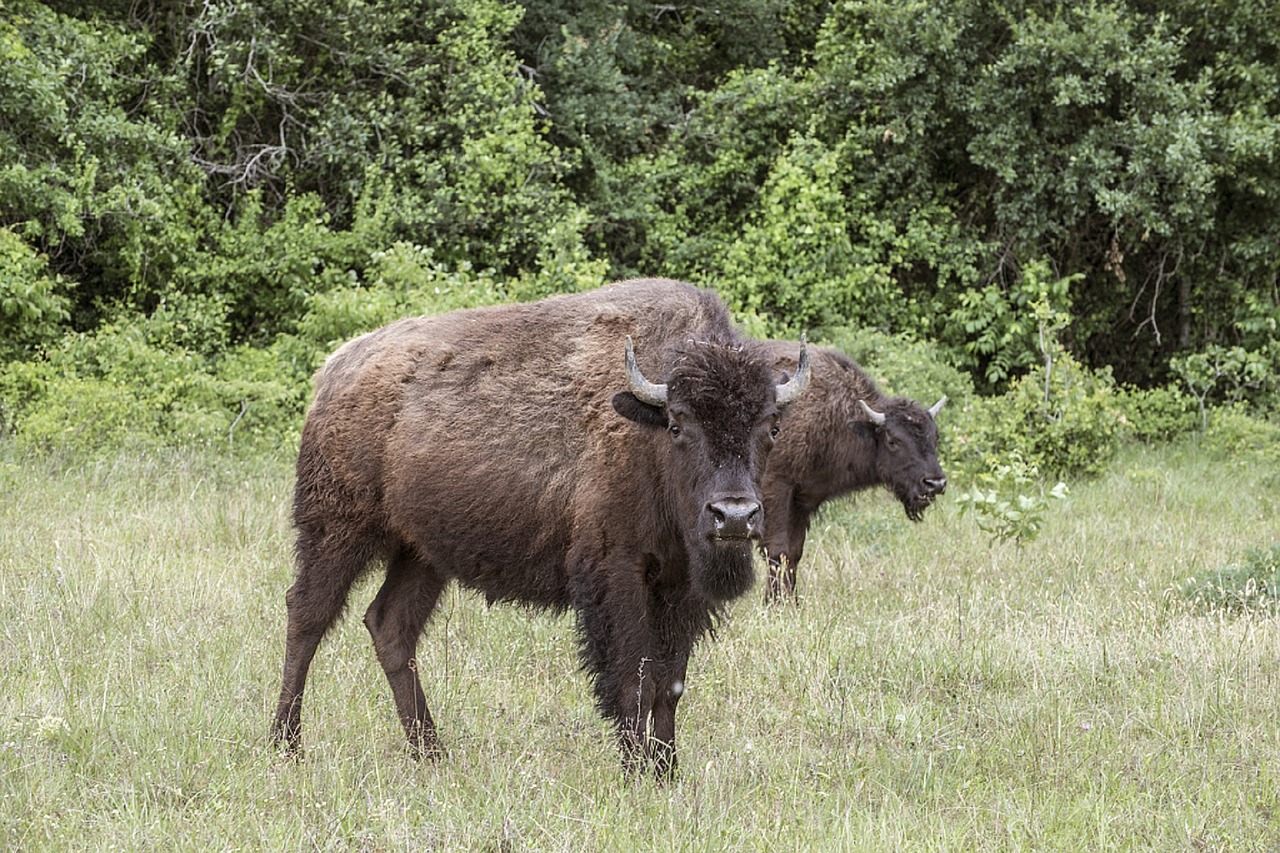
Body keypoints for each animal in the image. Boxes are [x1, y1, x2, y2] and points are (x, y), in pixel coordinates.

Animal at [270, 275, 808, 773]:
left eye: (771, 427)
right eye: (678, 424)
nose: (733, 516)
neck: (645, 434)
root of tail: (335, 372)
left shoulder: (680, 587)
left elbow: (669, 683)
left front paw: (666, 770)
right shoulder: (618, 574)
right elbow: (635, 678)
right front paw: (638, 773)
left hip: (419, 552)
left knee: (390, 627)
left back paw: (431, 752)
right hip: (338, 530)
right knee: (307, 614)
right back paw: (286, 744)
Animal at [747, 338, 947, 596]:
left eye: (935, 436)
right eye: (893, 440)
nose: (935, 483)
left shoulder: (802, 499)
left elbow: (793, 552)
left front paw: (792, 601)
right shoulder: (777, 488)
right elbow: (777, 550)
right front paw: (774, 601)